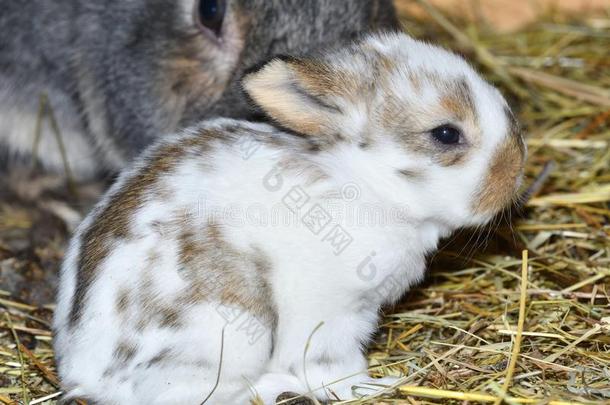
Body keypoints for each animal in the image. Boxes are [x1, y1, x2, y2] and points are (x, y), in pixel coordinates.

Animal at [54, 33, 524, 402]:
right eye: (446, 134)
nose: (516, 171)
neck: (366, 184)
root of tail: (85, 372)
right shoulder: (333, 316)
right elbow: (332, 368)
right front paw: (376, 385)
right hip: (229, 332)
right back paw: (276, 387)